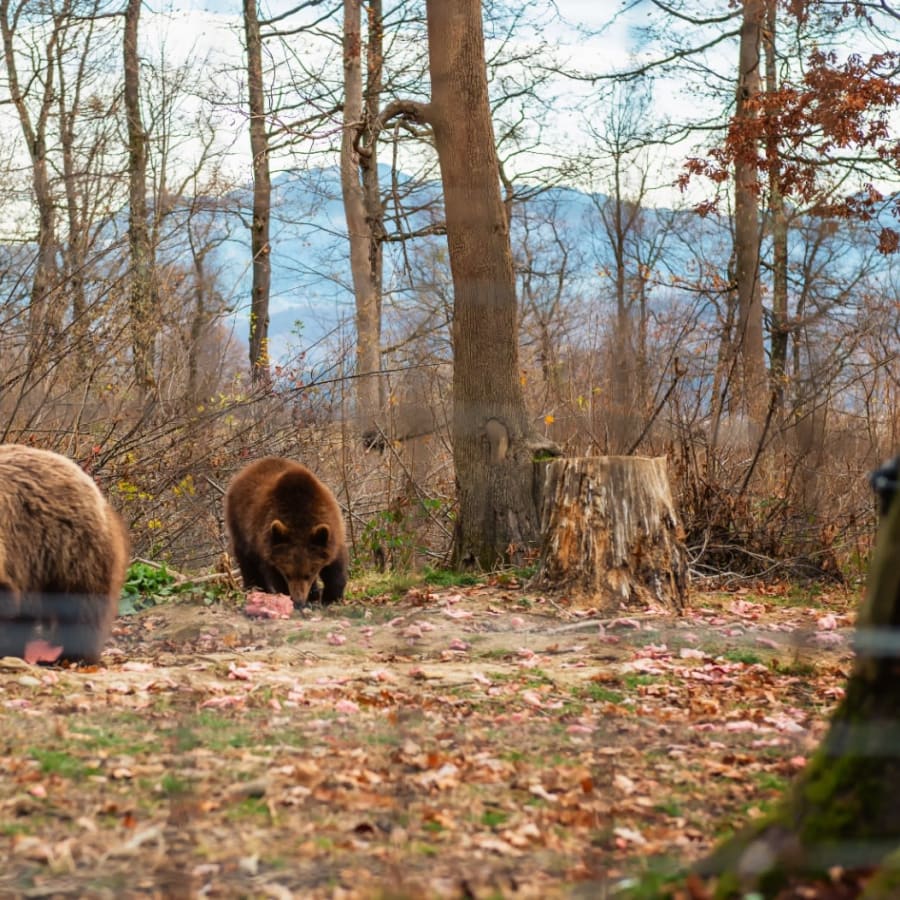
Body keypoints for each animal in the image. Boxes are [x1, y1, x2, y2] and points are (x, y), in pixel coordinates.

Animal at [224, 457, 348, 607]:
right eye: (287, 574)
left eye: (308, 574)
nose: (298, 600)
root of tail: (247, 469)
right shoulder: (267, 544)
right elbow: (274, 573)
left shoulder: (331, 530)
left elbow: (335, 566)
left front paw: (330, 597)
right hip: (240, 523)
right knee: (247, 560)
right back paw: (255, 588)